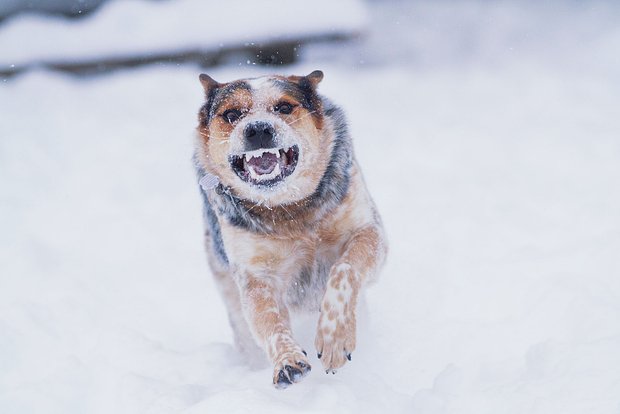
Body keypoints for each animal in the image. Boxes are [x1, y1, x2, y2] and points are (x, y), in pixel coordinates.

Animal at [194, 69, 388, 390]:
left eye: (284, 107)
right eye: (232, 114)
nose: (258, 129)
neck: (291, 211)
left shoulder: (368, 231)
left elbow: (344, 270)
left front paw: (334, 339)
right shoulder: (256, 275)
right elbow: (270, 320)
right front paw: (287, 361)